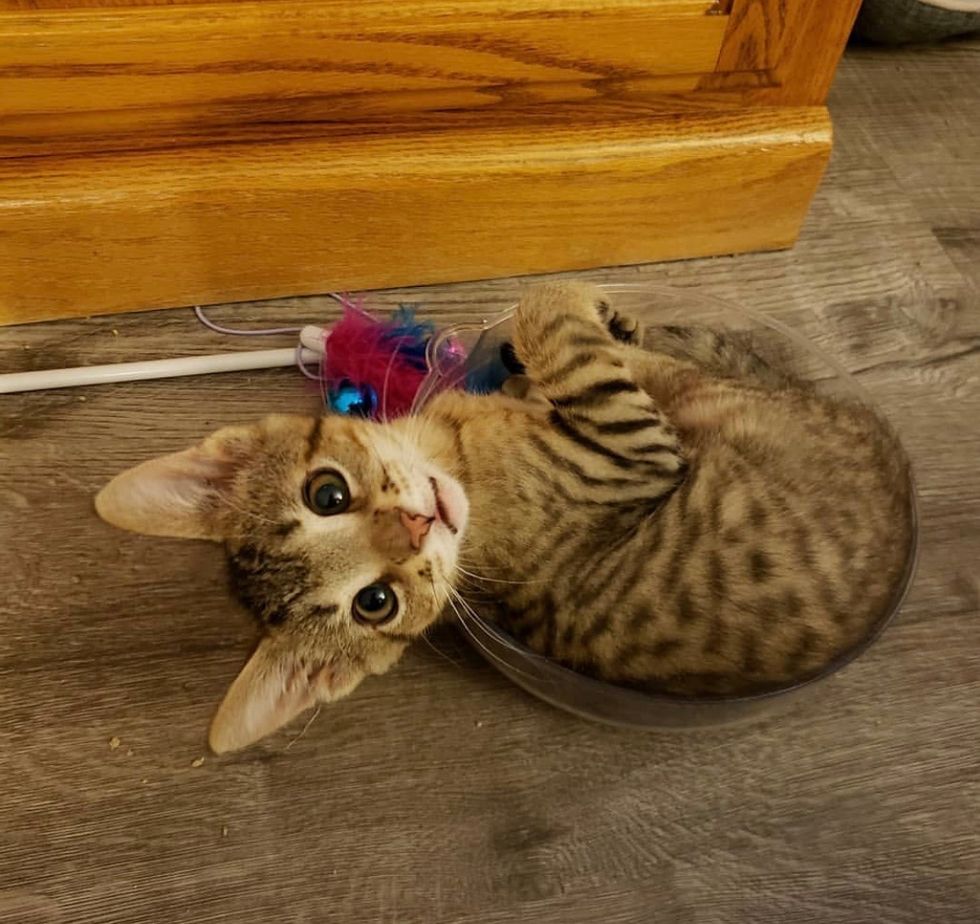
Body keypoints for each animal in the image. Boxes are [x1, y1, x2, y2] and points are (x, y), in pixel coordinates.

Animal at [97, 282, 912, 752]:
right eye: (376, 603)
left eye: (326, 493)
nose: (417, 526)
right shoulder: (632, 447)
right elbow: (557, 320)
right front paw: (581, 305)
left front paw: (586, 327)